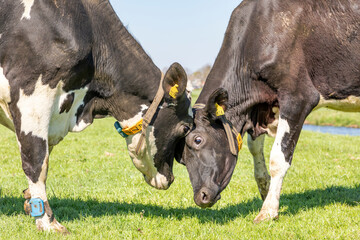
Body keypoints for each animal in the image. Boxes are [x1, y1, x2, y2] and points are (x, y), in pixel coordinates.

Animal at [0, 0, 194, 232]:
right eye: (185, 128)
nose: (170, 178)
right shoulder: (32, 94)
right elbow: (37, 159)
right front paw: (47, 221)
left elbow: (45, 155)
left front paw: (30, 200)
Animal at [176, 0, 360, 223]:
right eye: (181, 158)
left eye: (198, 140)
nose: (200, 197)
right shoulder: (261, 109)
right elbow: (255, 151)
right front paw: (266, 194)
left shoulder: (298, 98)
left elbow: (278, 158)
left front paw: (268, 211)